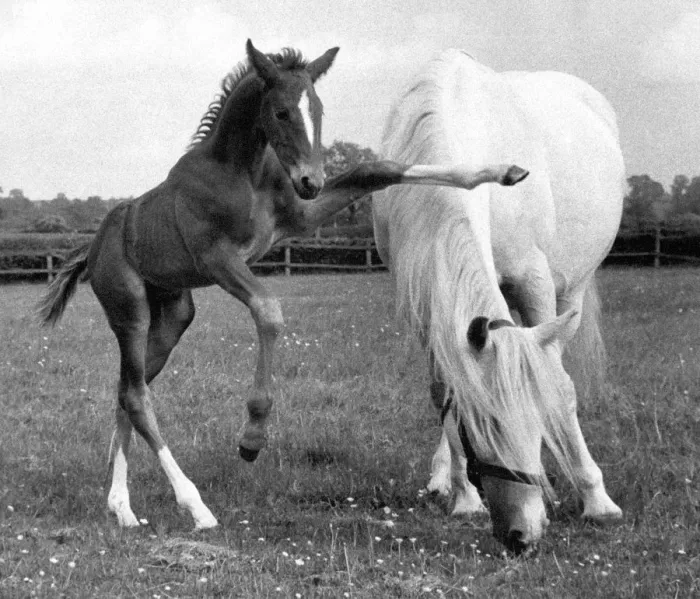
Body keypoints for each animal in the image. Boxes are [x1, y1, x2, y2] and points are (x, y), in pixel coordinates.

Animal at [38, 40, 529, 530]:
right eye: (279, 112)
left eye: (318, 108)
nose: (310, 180)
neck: (245, 170)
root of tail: (93, 248)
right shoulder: (218, 257)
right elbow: (269, 311)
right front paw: (252, 435)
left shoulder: (301, 216)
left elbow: (377, 169)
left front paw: (504, 172)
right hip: (130, 309)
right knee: (137, 395)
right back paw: (194, 506)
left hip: (174, 313)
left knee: (127, 389)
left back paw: (121, 506)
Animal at [373, 49, 624, 553]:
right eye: (477, 429)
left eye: (534, 423)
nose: (518, 535)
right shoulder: (426, 301)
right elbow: (445, 392)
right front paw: (464, 495)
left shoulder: (534, 281)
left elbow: (558, 386)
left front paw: (597, 500)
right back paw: (442, 478)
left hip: (570, 291)